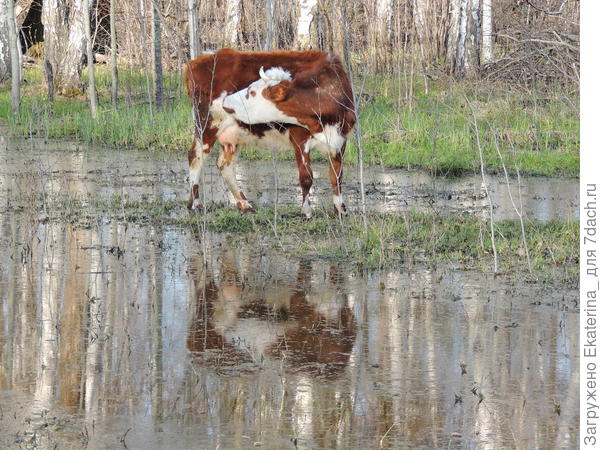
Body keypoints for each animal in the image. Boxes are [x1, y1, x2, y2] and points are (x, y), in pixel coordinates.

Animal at [183, 48, 356, 218]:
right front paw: (306, 212)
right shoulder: (299, 139)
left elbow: (336, 177)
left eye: (252, 92)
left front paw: (340, 210)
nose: (226, 100)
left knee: (224, 165)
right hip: (206, 125)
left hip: (233, 134)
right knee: (195, 157)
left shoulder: (341, 141)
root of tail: (203, 58)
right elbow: (306, 177)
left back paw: (244, 204)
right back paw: (195, 204)